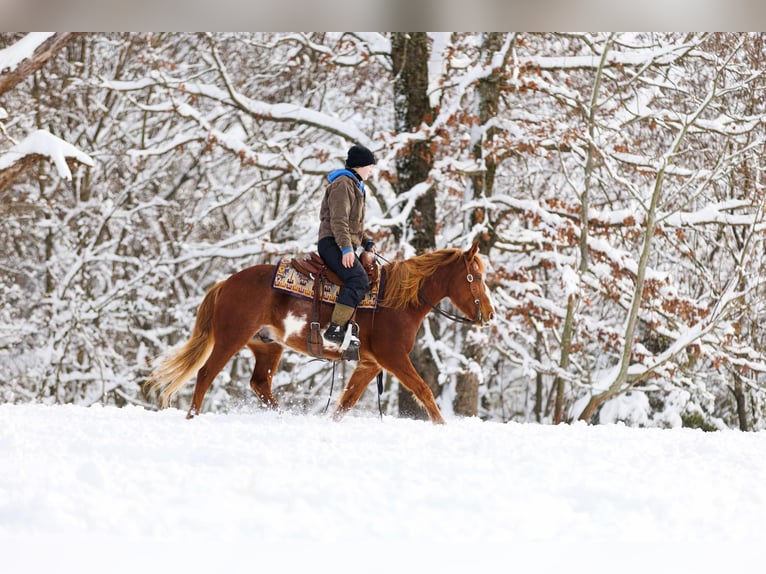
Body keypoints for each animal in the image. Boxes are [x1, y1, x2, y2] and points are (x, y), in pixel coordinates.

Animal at [146, 241, 498, 426]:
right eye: (476, 276)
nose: (490, 314)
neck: (396, 301)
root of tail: (226, 283)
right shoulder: (393, 357)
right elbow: (423, 390)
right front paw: (442, 426)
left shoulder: (370, 364)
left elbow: (346, 402)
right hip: (230, 338)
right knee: (206, 373)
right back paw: (192, 416)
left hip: (267, 346)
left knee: (260, 384)